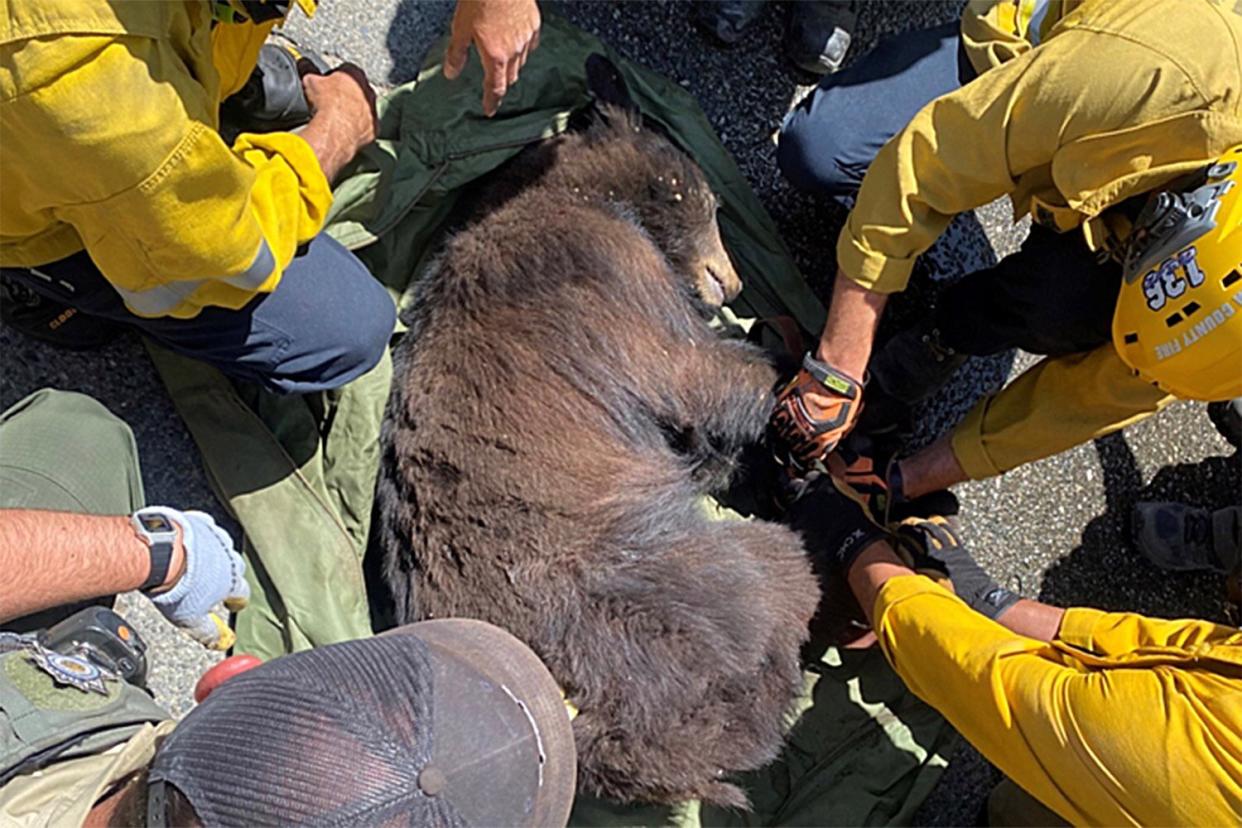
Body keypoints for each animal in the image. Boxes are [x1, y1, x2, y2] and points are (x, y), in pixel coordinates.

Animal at [380, 58, 824, 809]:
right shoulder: (606, 270)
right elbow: (697, 374)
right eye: (710, 201)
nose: (732, 282)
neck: (575, 192)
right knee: (777, 582)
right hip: (679, 589)